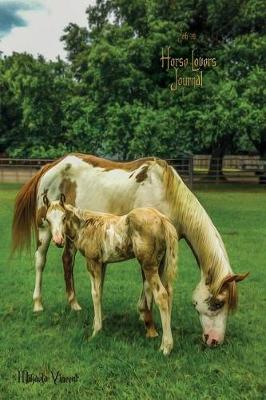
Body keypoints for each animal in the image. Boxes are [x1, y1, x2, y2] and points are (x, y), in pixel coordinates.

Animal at [43, 195, 178, 354]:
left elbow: (95, 294)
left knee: (162, 296)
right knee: (169, 293)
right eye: (47, 219)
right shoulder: (103, 264)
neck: (85, 225)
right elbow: (100, 292)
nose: (58, 241)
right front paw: (97, 324)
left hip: (149, 266)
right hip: (161, 264)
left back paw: (166, 347)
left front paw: (95, 331)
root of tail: (162, 219)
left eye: (64, 217)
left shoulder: (92, 262)